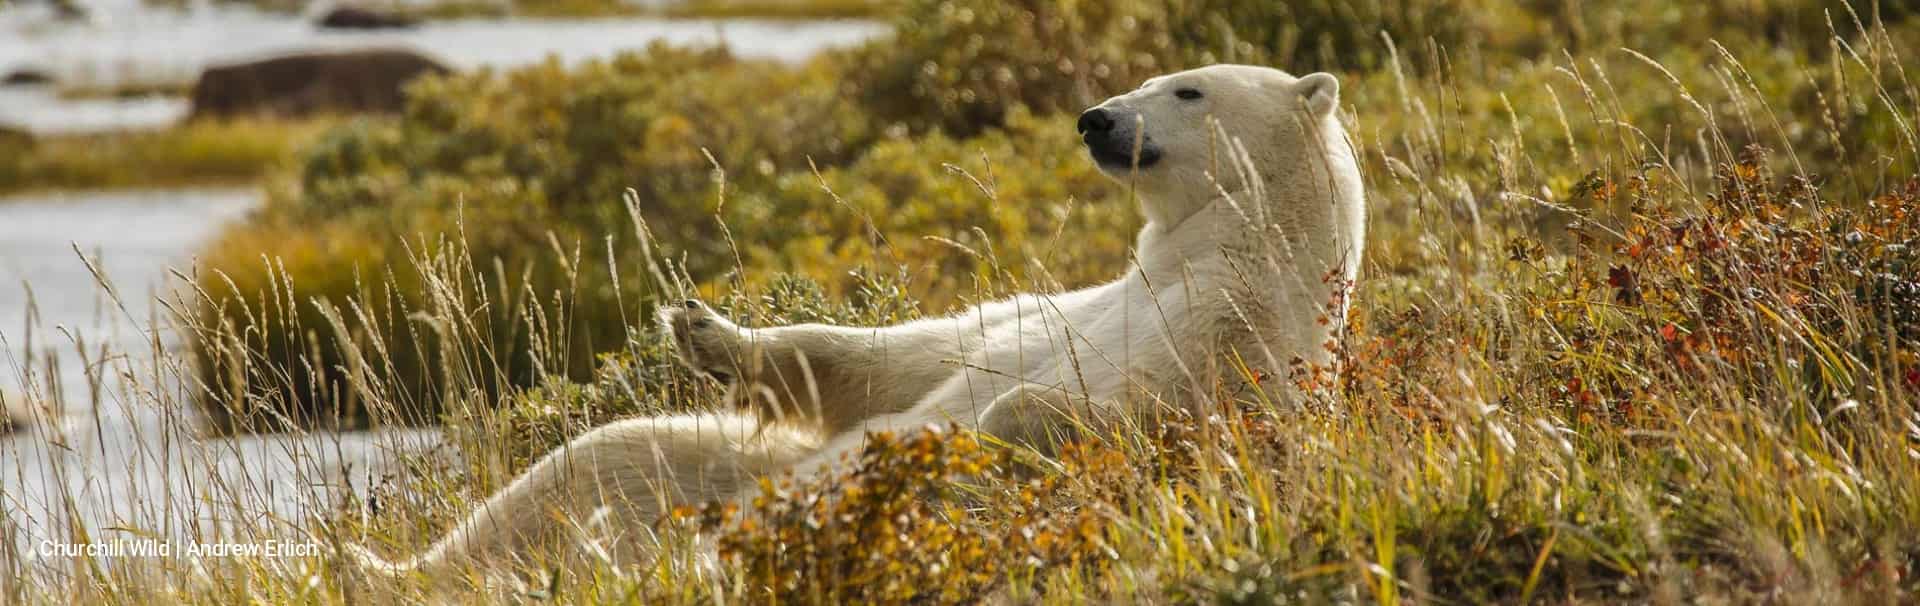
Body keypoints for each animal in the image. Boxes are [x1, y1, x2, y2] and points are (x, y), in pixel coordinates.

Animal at [351, 64, 1367, 580]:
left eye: (1189, 90)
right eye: (1153, 77)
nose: (1097, 119)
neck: (1218, 245)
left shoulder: (1236, 328)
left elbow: (1105, 410)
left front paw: (976, 437)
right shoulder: (1092, 301)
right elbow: (924, 352)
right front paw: (703, 327)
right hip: (712, 467)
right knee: (587, 464)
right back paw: (383, 568)